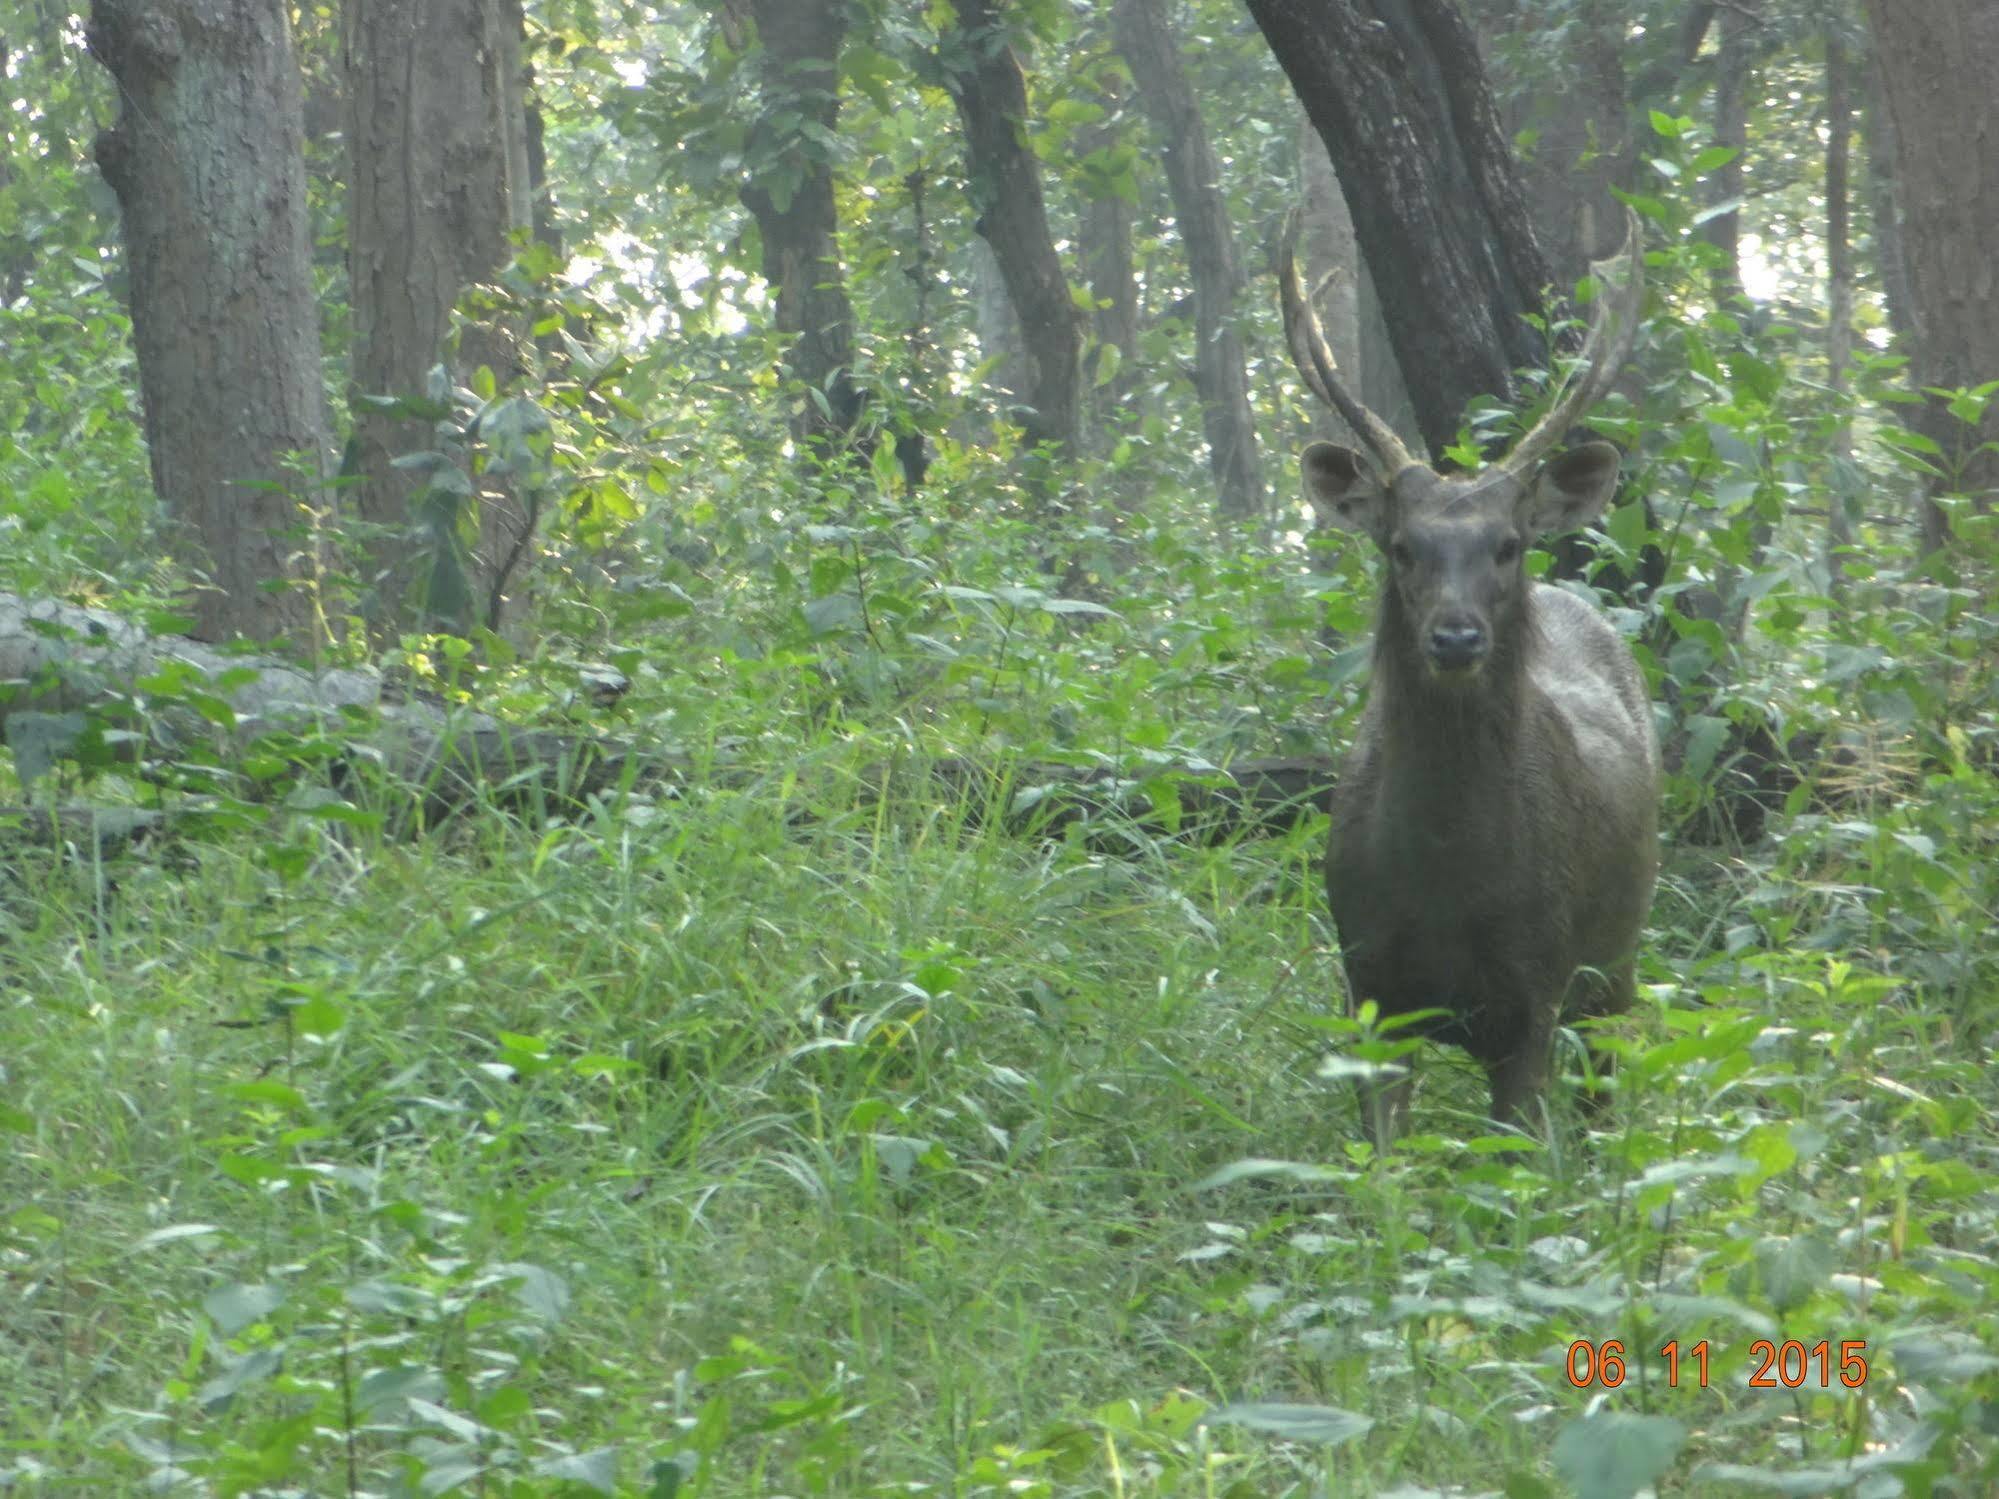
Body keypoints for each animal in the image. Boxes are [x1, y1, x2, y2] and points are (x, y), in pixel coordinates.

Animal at [1287, 213, 1663, 1151]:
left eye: (1506, 544)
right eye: (1400, 546)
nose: (1455, 636)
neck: (1447, 885)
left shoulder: (1536, 979)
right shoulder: (1367, 980)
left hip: (1620, 952)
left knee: (1603, 1093)